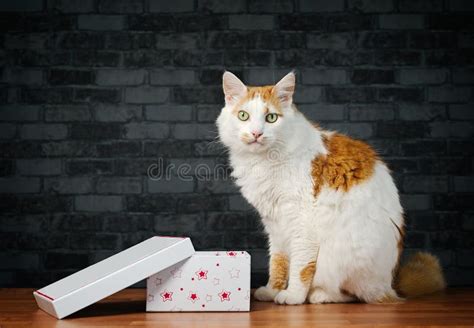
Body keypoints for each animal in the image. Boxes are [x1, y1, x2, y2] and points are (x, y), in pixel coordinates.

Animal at [217, 72, 446, 304]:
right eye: (243, 116)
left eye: (271, 118)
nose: (256, 133)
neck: (263, 161)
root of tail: (390, 285)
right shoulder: (275, 223)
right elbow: (278, 262)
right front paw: (272, 290)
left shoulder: (302, 221)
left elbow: (300, 267)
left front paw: (293, 296)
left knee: (350, 294)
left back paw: (319, 295)